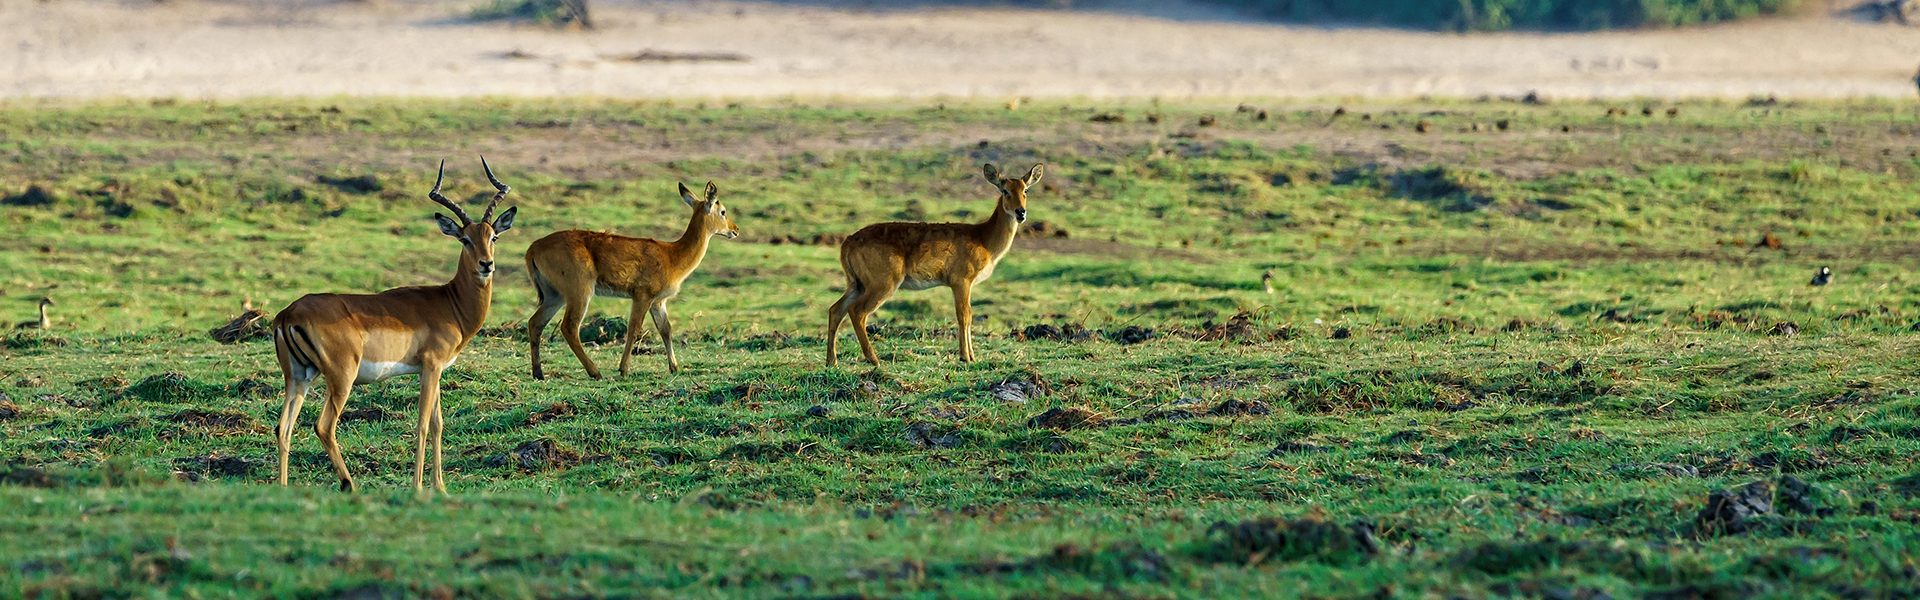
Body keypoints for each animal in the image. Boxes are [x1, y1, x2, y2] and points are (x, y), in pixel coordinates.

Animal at [271, 158, 517, 494]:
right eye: (465, 239)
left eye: (493, 237)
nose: (486, 265)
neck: (449, 302)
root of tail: (288, 314)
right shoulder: (431, 366)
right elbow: (423, 424)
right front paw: (418, 488)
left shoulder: (434, 370)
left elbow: (438, 424)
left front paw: (440, 488)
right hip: (341, 378)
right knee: (323, 426)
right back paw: (349, 484)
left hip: (298, 377)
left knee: (283, 427)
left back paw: (283, 489)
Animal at [523, 181, 739, 379]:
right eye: (723, 211)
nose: (735, 230)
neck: (672, 255)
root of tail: (533, 247)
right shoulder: (642, 296)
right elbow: (634, 329)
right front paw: (623, 369)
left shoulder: (658, 302)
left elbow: (666, 329)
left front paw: (675, 367)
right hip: (580, 293)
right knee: (569, 327)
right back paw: (595, 372)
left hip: (555, 296)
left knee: (535, 322)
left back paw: (539, 373)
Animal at [826, 162, 1044, 366]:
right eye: (1005, 190)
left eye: (1025, 190)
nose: (1020, 212)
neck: (984, 238)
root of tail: (848, 242)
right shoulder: (961, 281)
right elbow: (964, 314)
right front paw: (966, 357)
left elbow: (968, 315)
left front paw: (972, 356)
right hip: (882, 285)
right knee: (857, 311)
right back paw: (874, 359)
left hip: (856, 284)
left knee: (835, 309)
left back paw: (832, 361)